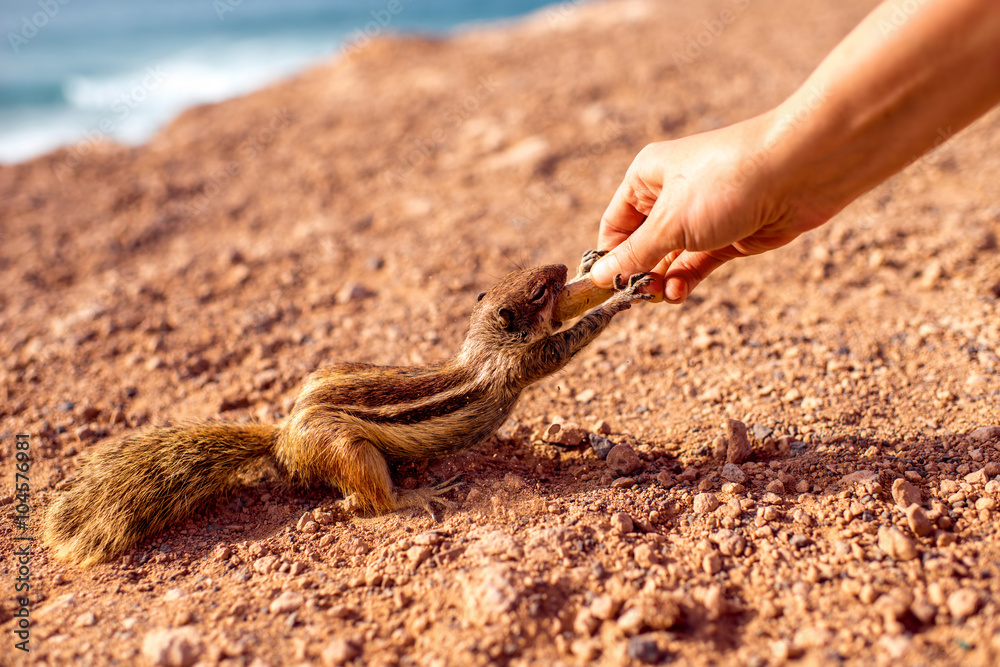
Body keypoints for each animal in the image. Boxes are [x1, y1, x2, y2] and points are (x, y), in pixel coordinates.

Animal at [43, 252, 652, 568]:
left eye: (535, 273)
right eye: (538, 290)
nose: (558, 264)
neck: (483, 344)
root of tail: (282, 437)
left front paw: (595, 264)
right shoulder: (522, 363)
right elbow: (566, 341)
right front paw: (619, 297)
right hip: (346, 449)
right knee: (367, 503)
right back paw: (420, 495)